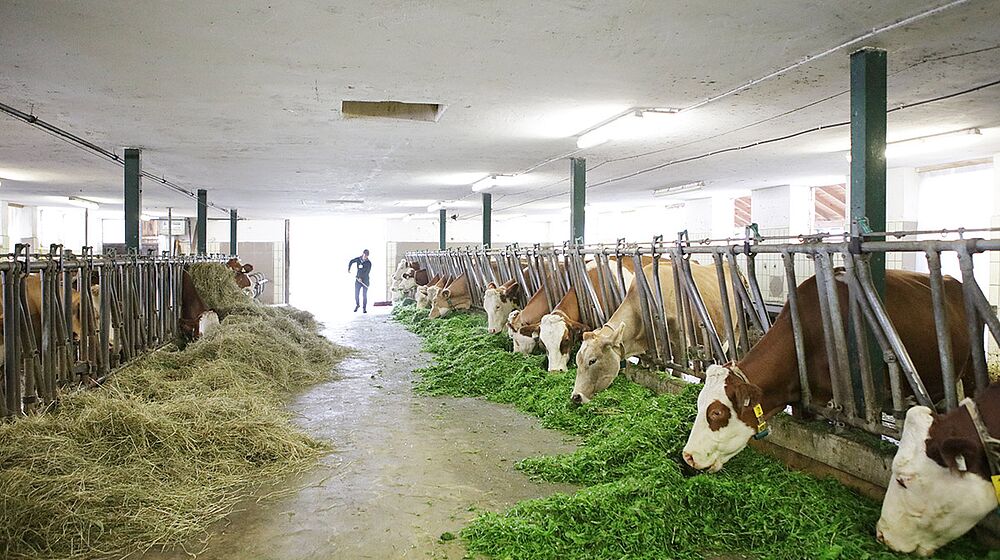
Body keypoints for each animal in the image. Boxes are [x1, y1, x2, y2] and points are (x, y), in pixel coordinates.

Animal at [572, 260, 744, 404]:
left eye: (592, 361)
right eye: (577, 361)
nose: (575, 396)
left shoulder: (680, 345)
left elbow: (676, 374)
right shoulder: (653, 348)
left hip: (734, 331)